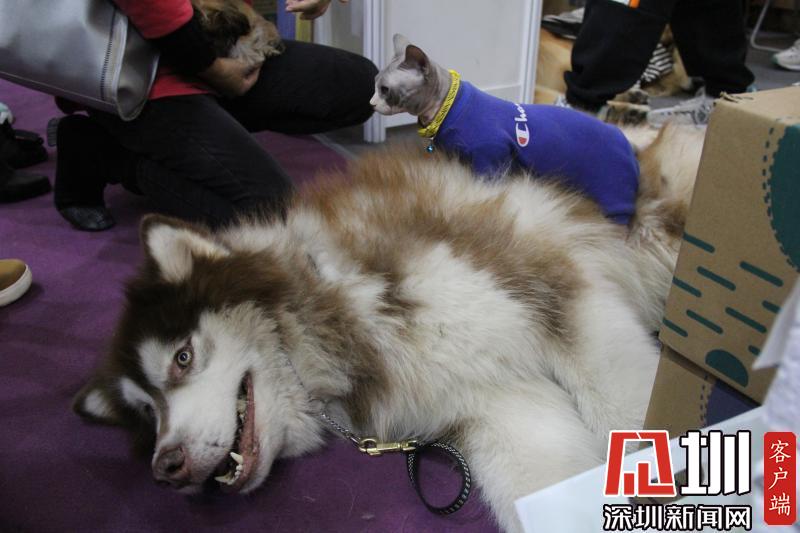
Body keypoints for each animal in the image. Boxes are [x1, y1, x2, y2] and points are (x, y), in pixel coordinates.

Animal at [72, 124, 704, 532]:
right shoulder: (499, 402)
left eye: (182, 357)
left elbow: (629, 416)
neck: (334, 303)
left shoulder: (562, 291)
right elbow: (545, 487)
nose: (165, 469)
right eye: (147, 412)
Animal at [370, 34, 641, 226]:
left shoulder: (490, 160)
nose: (371, 103)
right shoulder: (457, 160)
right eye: (374, 85)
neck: (446, 111)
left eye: (384, 90)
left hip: (613, 191)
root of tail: (627, 143)